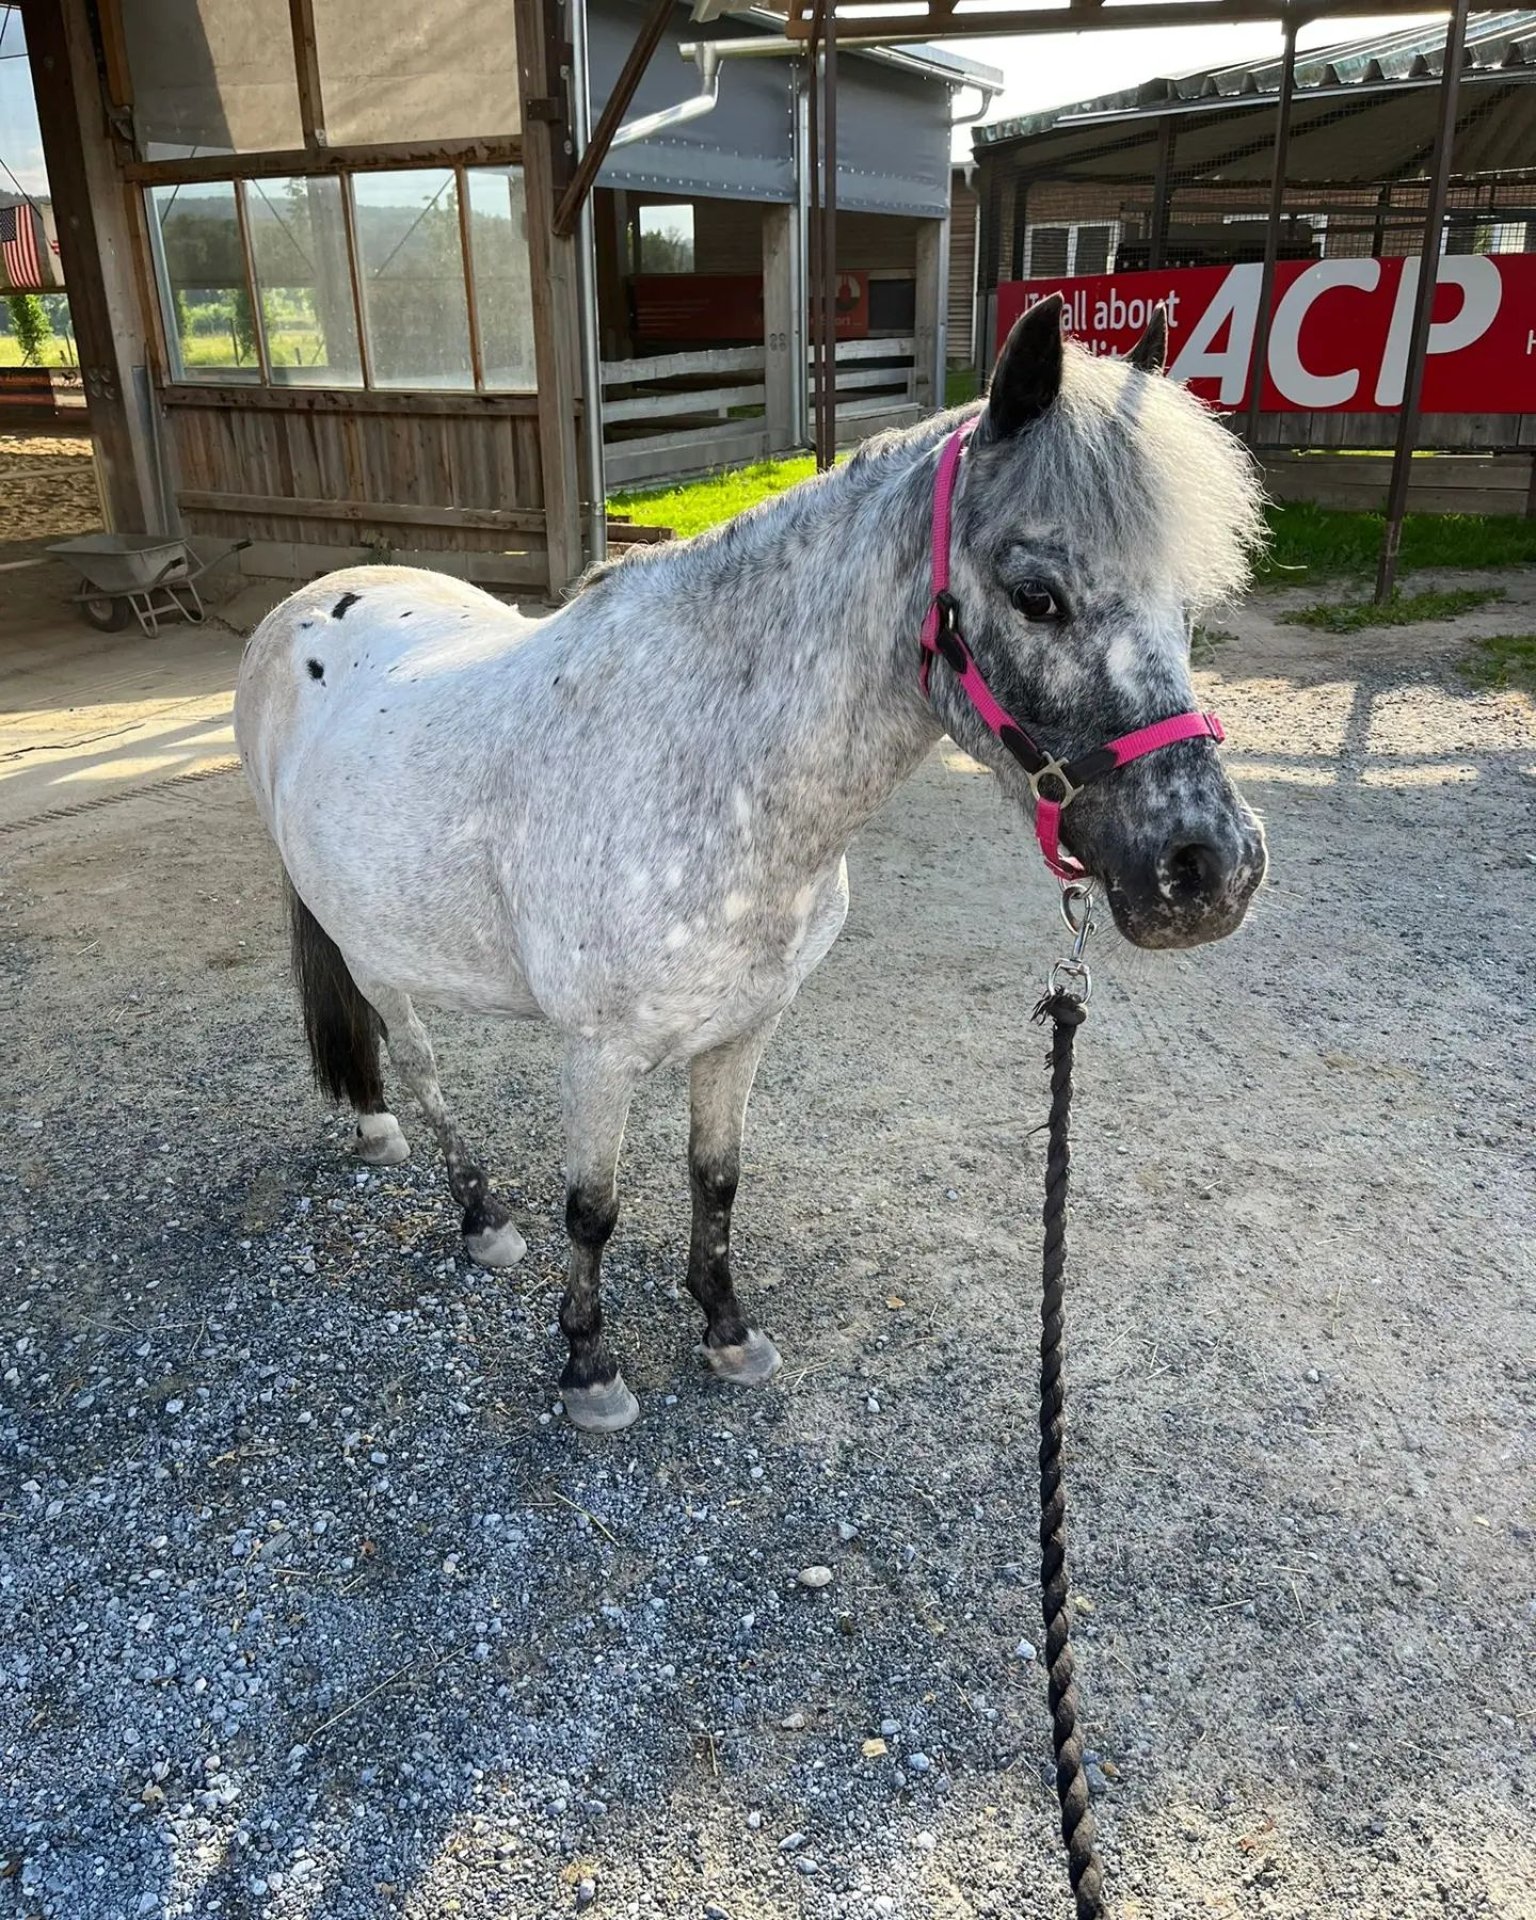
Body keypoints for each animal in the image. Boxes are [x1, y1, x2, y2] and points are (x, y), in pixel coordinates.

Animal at [234, 295, 1267, 1433]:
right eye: (1035, 594)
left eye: (1189, 604)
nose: (1209, 870)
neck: (708, 768)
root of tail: (312, 599)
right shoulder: (596, 1054)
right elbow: (591, 1210)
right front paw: (589, 1367)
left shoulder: (745, 1029)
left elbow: (716, 1178)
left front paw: (726, 1330)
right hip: (373, 953)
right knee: (417, 1065)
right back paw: (473, 1211)